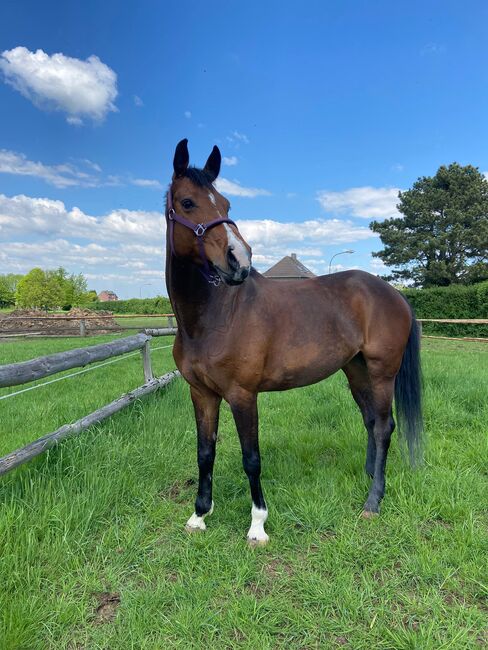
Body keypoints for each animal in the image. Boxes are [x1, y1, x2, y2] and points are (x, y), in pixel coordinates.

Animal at [165, 139, 423, 545]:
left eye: (226, 204)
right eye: (188, 202)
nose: (238, 260)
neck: (214, 316)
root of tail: (393, 293)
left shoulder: (242, 395)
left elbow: (251, 458)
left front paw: (257, 525)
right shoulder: (201, 393)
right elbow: (205, 452)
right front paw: (199, 515)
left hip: (383, 373)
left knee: (384, 427)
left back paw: (373, 501)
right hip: (356, 369)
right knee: (369, 421)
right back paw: (369, 475)